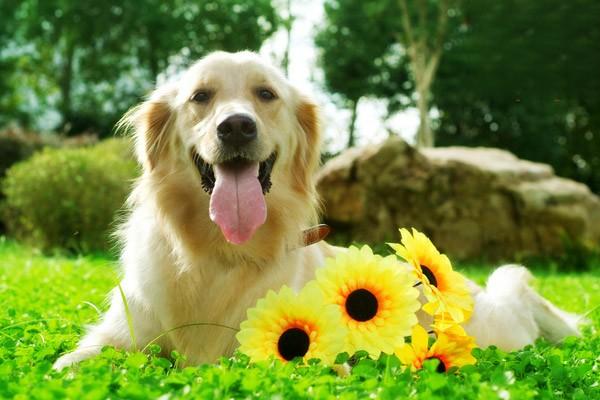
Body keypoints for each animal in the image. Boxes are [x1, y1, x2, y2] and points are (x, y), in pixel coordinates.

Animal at [52, 51, 580, 370]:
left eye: (266, 94)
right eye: (200, 96)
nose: (237, 127)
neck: (220, 254)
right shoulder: (118, 336)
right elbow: (66, 364)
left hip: (494, 332)